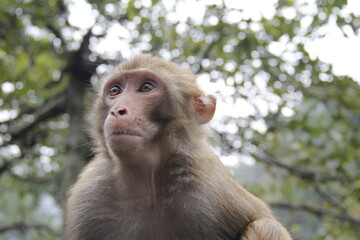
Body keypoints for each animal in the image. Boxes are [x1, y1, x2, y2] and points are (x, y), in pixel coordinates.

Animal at [65, 54, 292, 240]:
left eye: (146, 87)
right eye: (115, 91)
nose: (117, 110)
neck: (146, 183)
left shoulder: (204, 189)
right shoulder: (89, 196)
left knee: (266, 227)